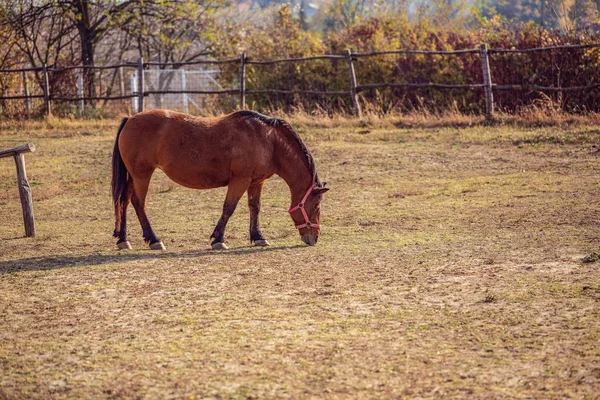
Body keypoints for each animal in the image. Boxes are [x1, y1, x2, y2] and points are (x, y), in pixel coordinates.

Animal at [110, 109, 330, 250]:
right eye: (317, 206)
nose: (314, 238)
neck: (268, 141)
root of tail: (130, 119)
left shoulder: (256, 182)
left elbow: (255, 207)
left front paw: (258, 236)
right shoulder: (240, 180)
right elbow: (229, 208)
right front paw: (218, 239)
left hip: (134, 176)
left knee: (124, 201)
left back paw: (123, 239)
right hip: (142, 175)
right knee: (138, 203)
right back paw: (154, 239)